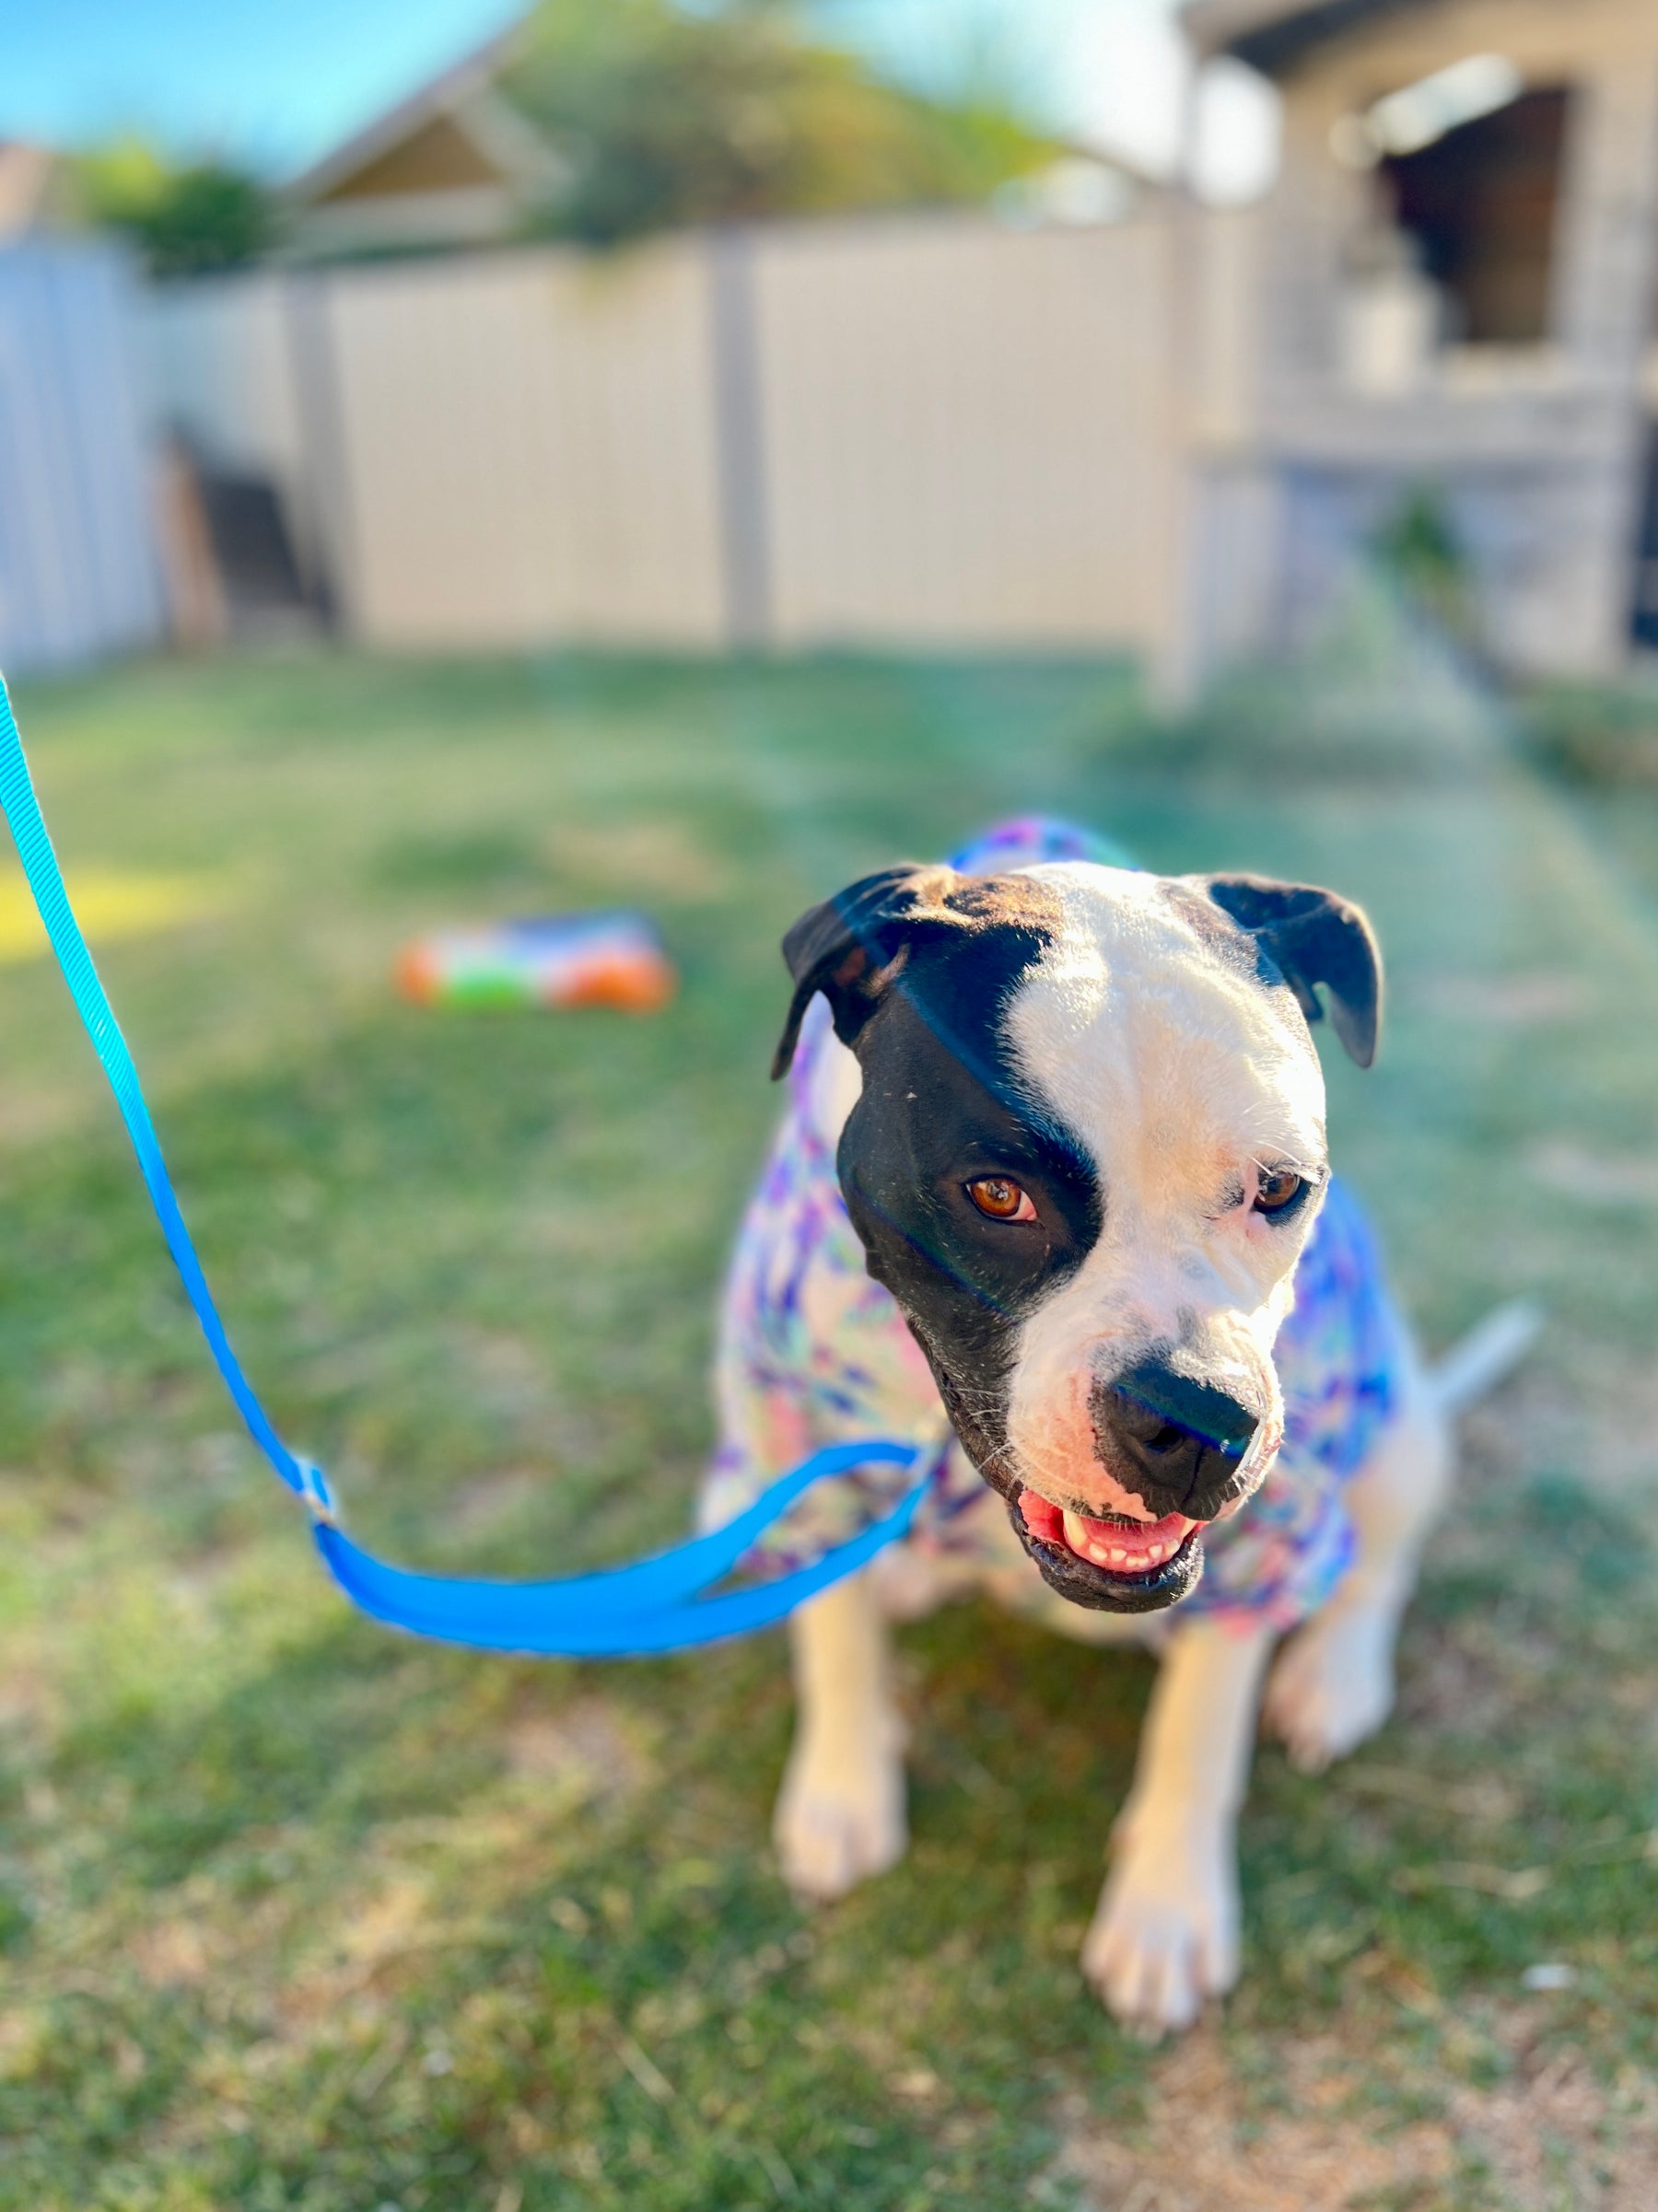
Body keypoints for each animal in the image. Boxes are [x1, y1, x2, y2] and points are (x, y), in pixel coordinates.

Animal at [699, 822, 1513, 2026]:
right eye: (997, 1194)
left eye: (1280, 1187)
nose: (1198, 1420)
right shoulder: (790, 1456)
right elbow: (836, 1641)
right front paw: (842, 1794)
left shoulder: (1259, 1552)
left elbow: (1198, 1738)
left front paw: (1167, 1910)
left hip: (1398, 1434)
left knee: (1375, 1569)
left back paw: (1334, 1680)